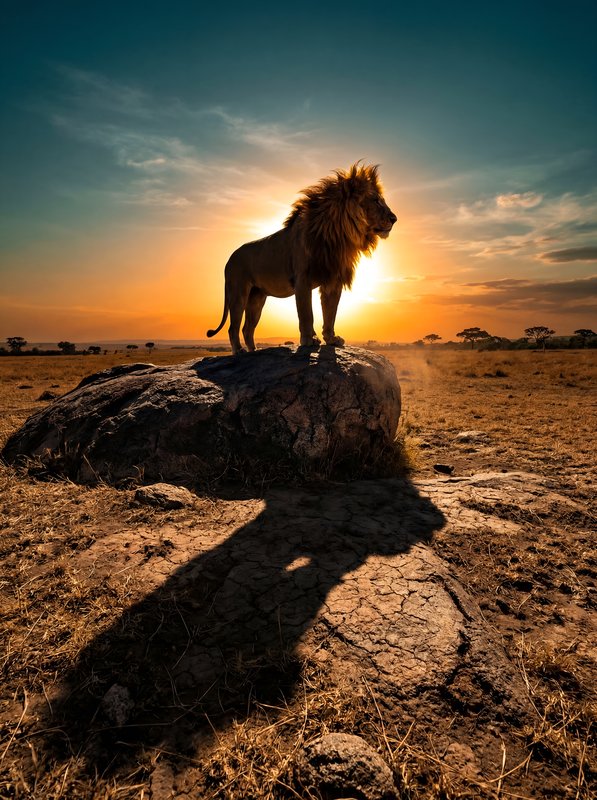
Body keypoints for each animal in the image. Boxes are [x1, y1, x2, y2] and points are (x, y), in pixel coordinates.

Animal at [206, 162, 397, 354]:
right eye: (375, 200)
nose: (394, 218)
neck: (339, 237)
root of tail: (229, 259)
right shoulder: (302, 280)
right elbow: (306, 314)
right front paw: (308, 340)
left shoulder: (333, 281)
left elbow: (330, 314)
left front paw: (331, 339)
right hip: (238, 293)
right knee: (233, 327)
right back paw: (239, 351)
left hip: (257, 298)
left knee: (247, 328)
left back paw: (254, 352)